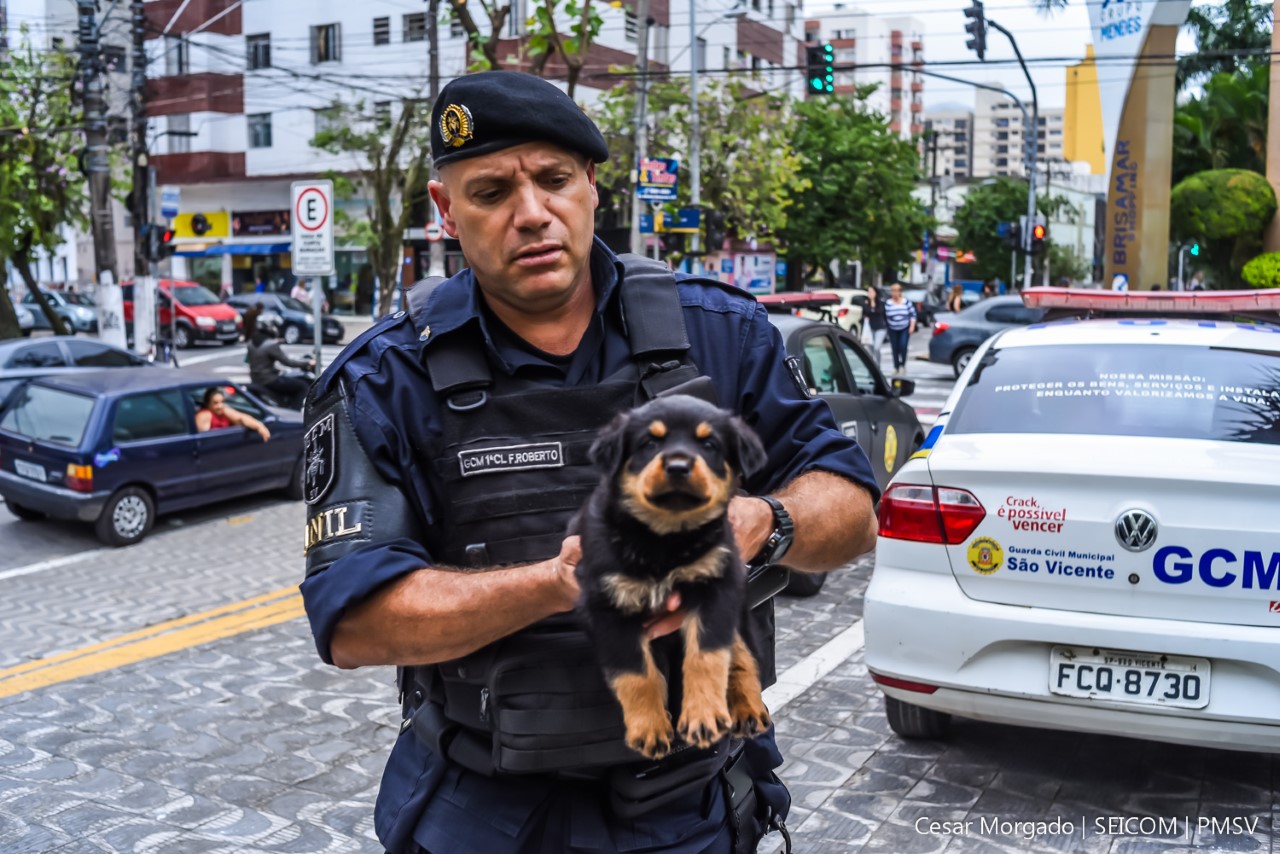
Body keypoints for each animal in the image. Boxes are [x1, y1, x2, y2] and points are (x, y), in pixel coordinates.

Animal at [576, 394, 773, 763]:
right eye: (649, 443)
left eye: (709, 444)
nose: (678, 466)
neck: (664, 541)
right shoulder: (607, 605)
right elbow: (636, 673)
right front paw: (649, 729)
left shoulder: (716, 588)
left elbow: (708, 656)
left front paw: (704, 716)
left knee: (743, 655)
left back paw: (748, 710)